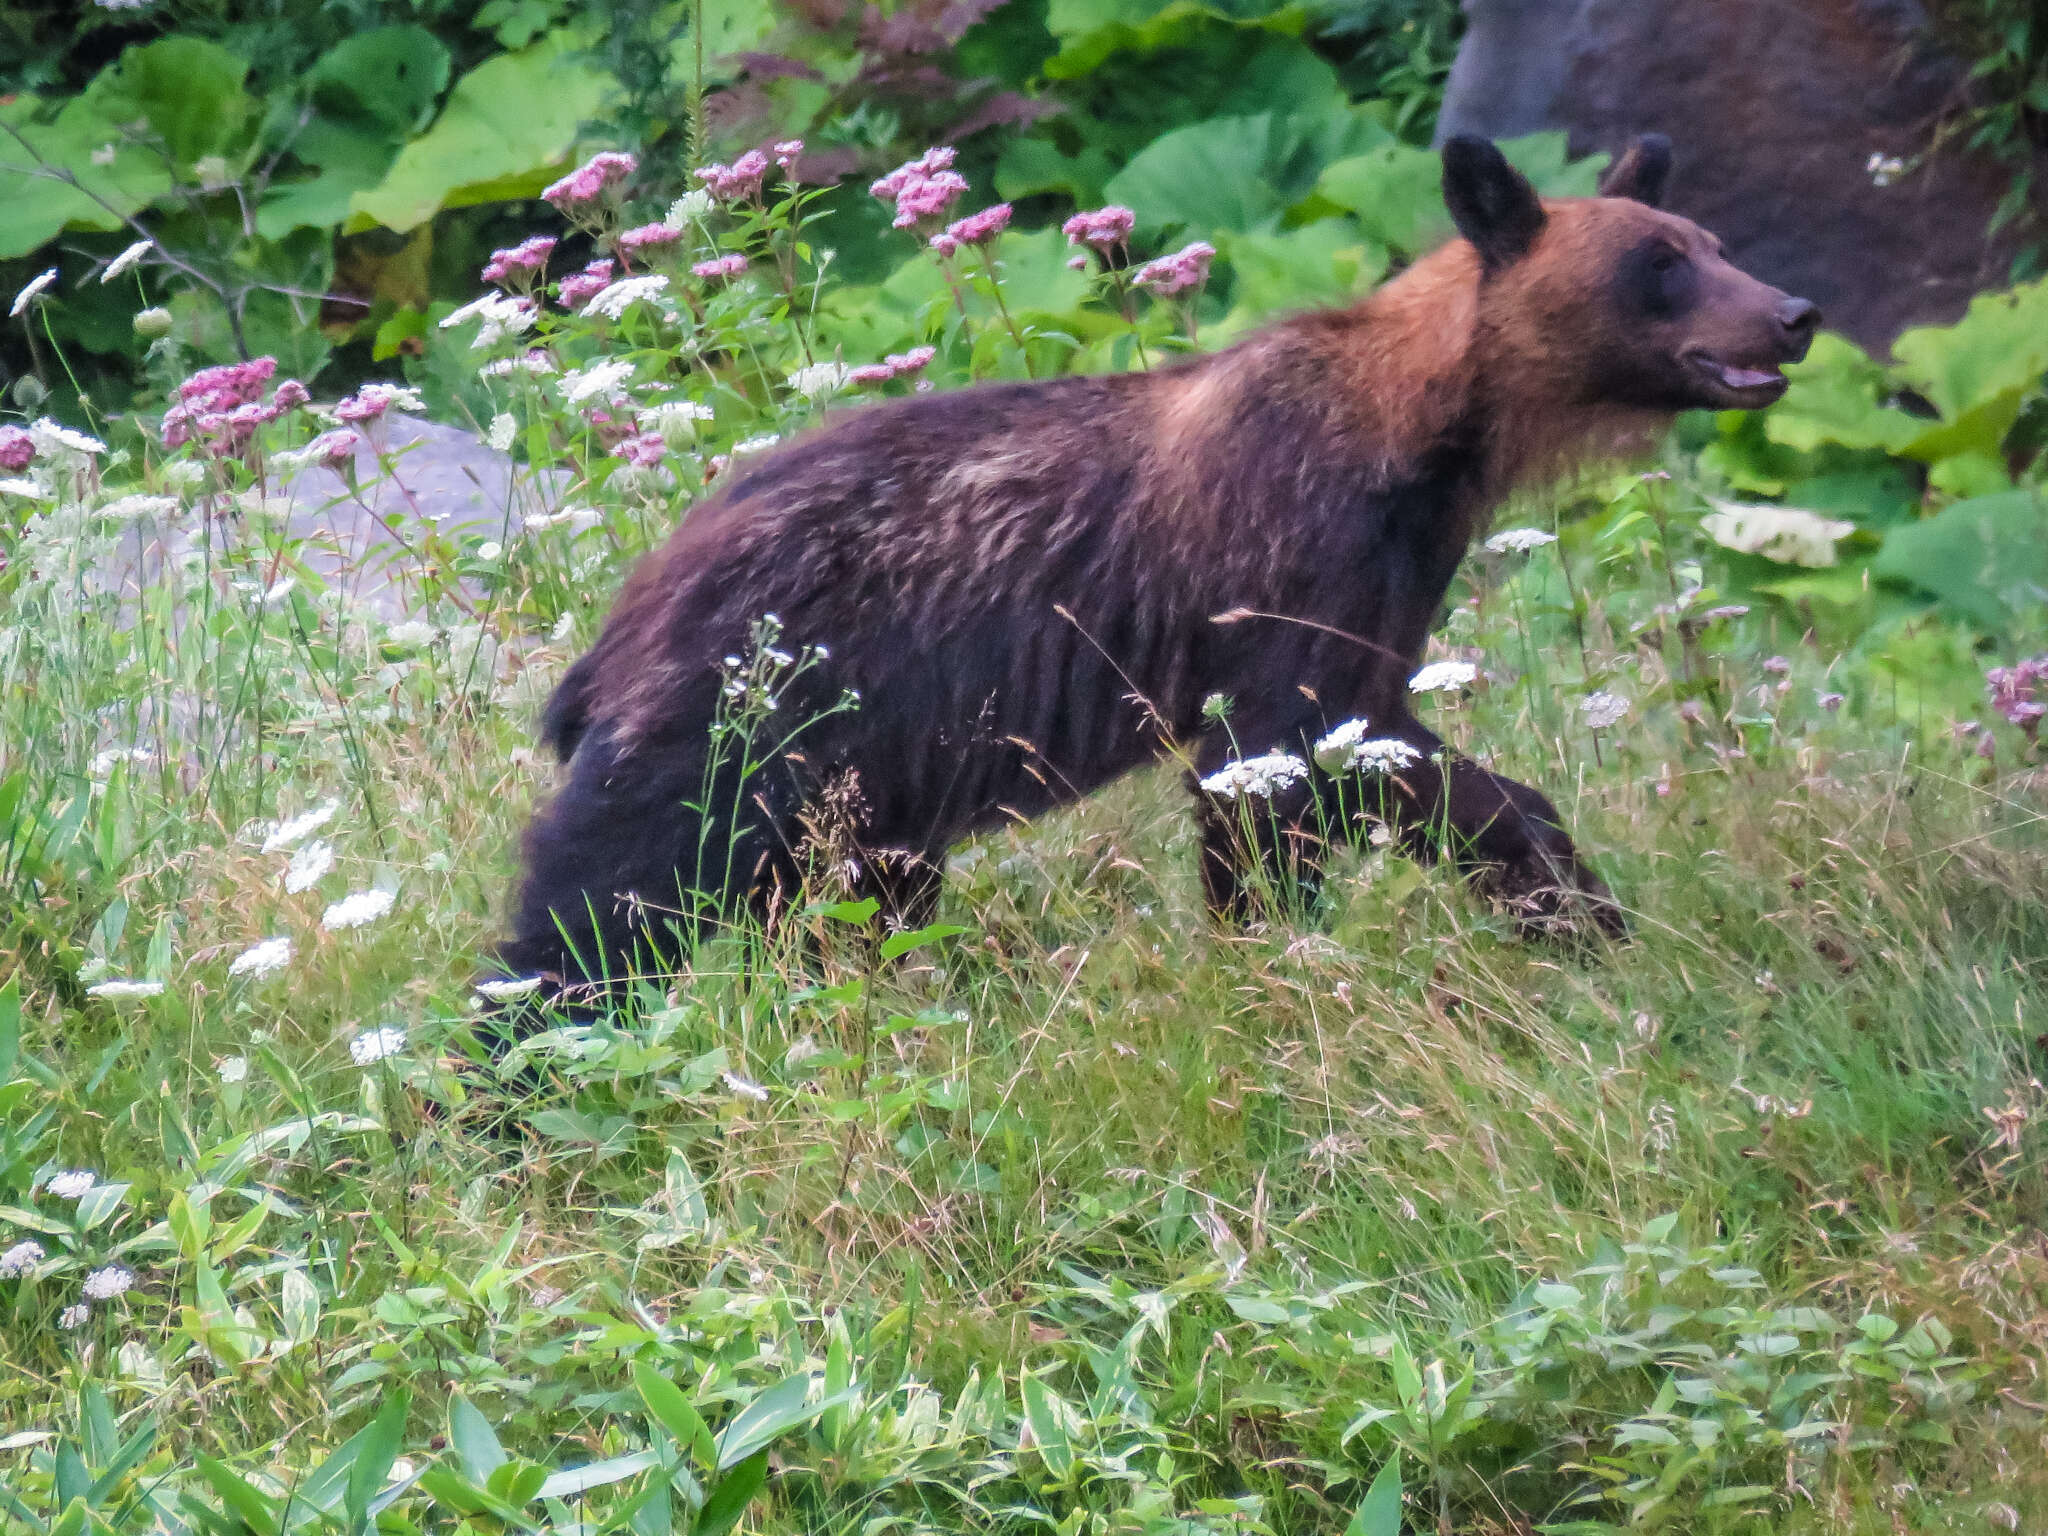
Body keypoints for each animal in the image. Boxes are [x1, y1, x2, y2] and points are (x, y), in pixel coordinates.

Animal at [491, 132, 1810, 999]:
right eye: (1659, 264)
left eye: (1707, 242)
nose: (1791, 312)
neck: (1423, 440)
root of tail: (620, 618)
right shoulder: (1286, 554)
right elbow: (1265, 779)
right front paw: (1266, 956)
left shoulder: (1377, 597)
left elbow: (1406, 762)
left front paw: (1572, 906)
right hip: (742, 712)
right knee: (605, 897)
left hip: (861, 776)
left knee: (852, 902)